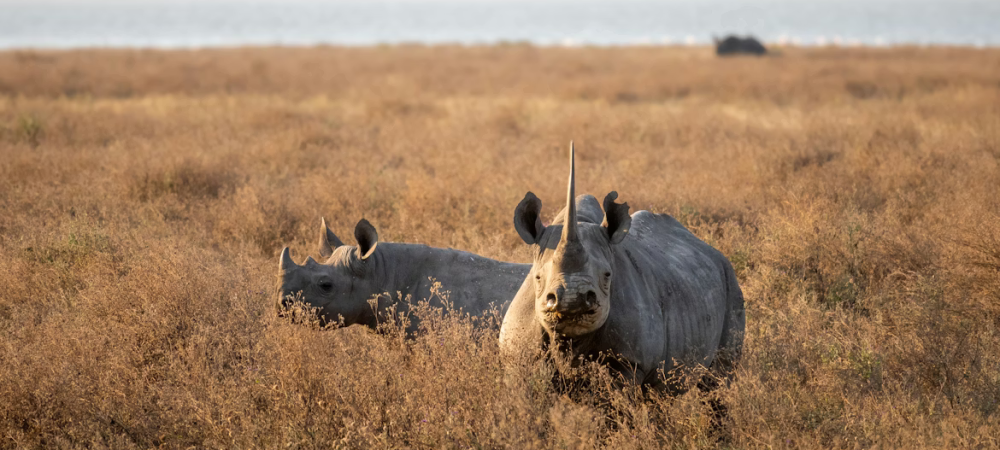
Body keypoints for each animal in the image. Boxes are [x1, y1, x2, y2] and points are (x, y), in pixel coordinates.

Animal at [499, 143, 745, 389]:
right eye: (537, 278)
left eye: (608, 275)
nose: (572, 300)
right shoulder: (519, 358)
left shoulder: (628, 362)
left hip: (729, 283)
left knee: (718, 381)